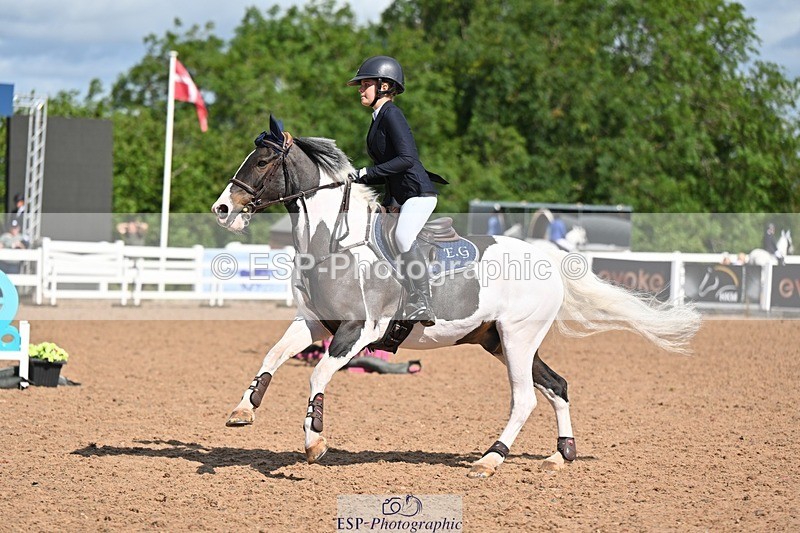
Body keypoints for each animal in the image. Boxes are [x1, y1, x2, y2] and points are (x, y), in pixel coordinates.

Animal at [211, 117, 701, 478]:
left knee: (525, 398)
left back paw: (490, 458)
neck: (335, 240)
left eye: (261, 161)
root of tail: (548, 260)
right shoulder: (315, 322)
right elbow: (273, 356)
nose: (222, 209)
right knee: (557, 386)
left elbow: (317, 376)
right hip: (499, 340)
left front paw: (314, 442)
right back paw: (560, 455)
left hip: (517, 338)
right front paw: (243, 410)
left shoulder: (359, 330)